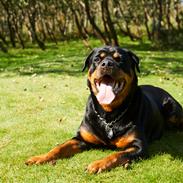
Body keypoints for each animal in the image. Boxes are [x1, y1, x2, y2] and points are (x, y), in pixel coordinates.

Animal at [26, 46, 183, 174]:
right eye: (97, 59)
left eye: (119, 59)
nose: (107, 63)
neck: (109, 115)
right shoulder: (81, 138)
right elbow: (59, 147)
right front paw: (40, 157)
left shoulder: (138, 146)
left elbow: (117, 154)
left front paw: (97, 164)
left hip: (172, 108)